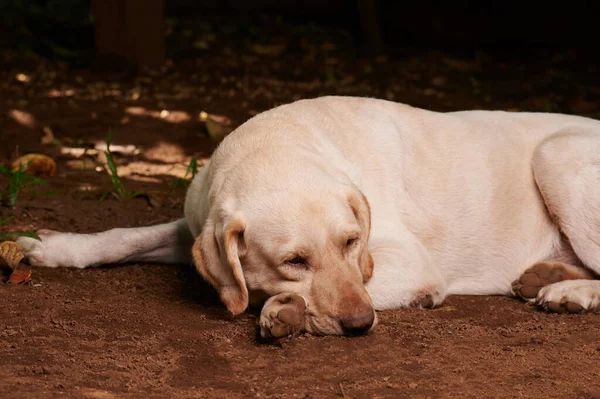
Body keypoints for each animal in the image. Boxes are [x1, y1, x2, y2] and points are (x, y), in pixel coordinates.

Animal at [16, 97, 600, 340]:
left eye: (351, 242)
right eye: (294, 259)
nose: (361, 326)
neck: (273, 147)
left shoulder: (406, 262)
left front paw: (285, 310)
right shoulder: (197, 227)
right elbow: (123, 237)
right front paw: (51, 246)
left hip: (558, 156)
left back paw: (569, 292)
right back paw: (545, 275)